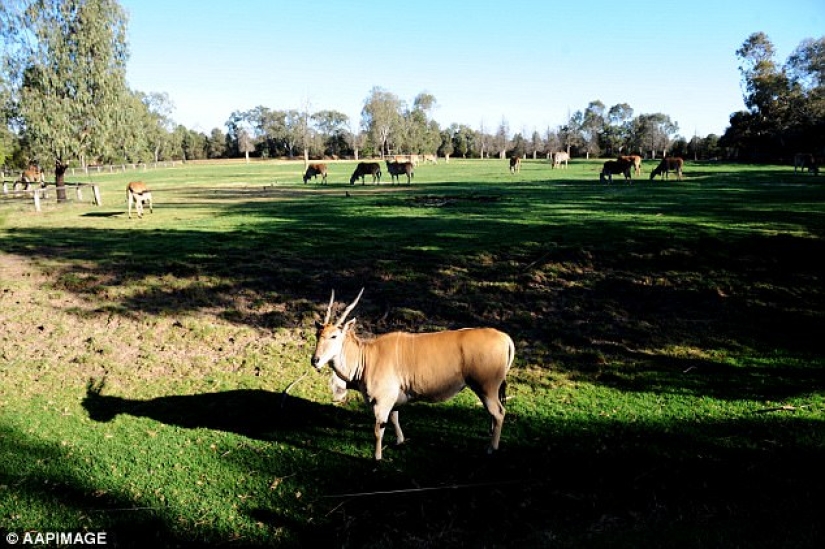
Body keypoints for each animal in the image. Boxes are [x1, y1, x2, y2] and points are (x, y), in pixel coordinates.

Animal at [310, 288, 516, 460]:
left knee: (498, 412)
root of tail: (505, 338)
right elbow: (394, 417)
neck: (367, 356)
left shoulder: (382, 400)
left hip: (486, 387)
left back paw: (491, 448)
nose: (315, 360)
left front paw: (377, 457)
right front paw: (399, 441)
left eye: (334, 336)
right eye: (317, 334)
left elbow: (378, 429)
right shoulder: (392, 399)